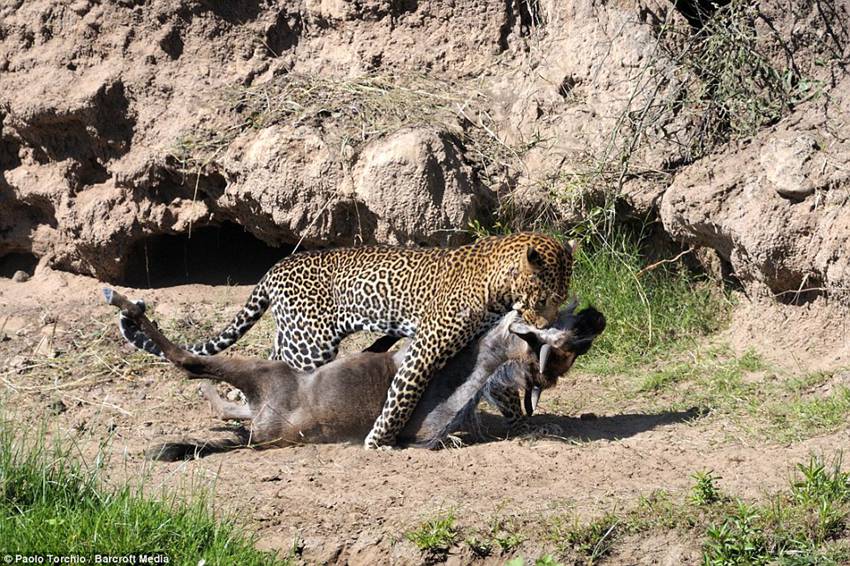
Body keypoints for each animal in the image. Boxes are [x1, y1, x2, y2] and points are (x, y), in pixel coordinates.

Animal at [119, 231, 574, 448]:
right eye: (545, 299)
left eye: (560, 300)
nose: (547, 323)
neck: (499, 286)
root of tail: (274, 269)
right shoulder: (426, 348)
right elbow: (402, 396)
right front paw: (378, 442)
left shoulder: (481, 343)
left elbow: (500, 385)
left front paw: (521, 422)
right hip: (310, 342)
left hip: (291, 336)